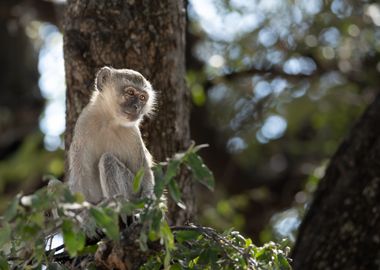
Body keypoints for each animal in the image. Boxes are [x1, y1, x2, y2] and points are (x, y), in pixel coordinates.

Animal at [68, 66, 156, 204]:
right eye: (130, 92)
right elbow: (81, 178)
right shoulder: (83, 123)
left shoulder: (133, 134)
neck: (109, 121)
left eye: (142, 97)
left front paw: (149, 197)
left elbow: (144, 173)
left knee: (108, 160)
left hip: (132, 193)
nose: (137, 107)